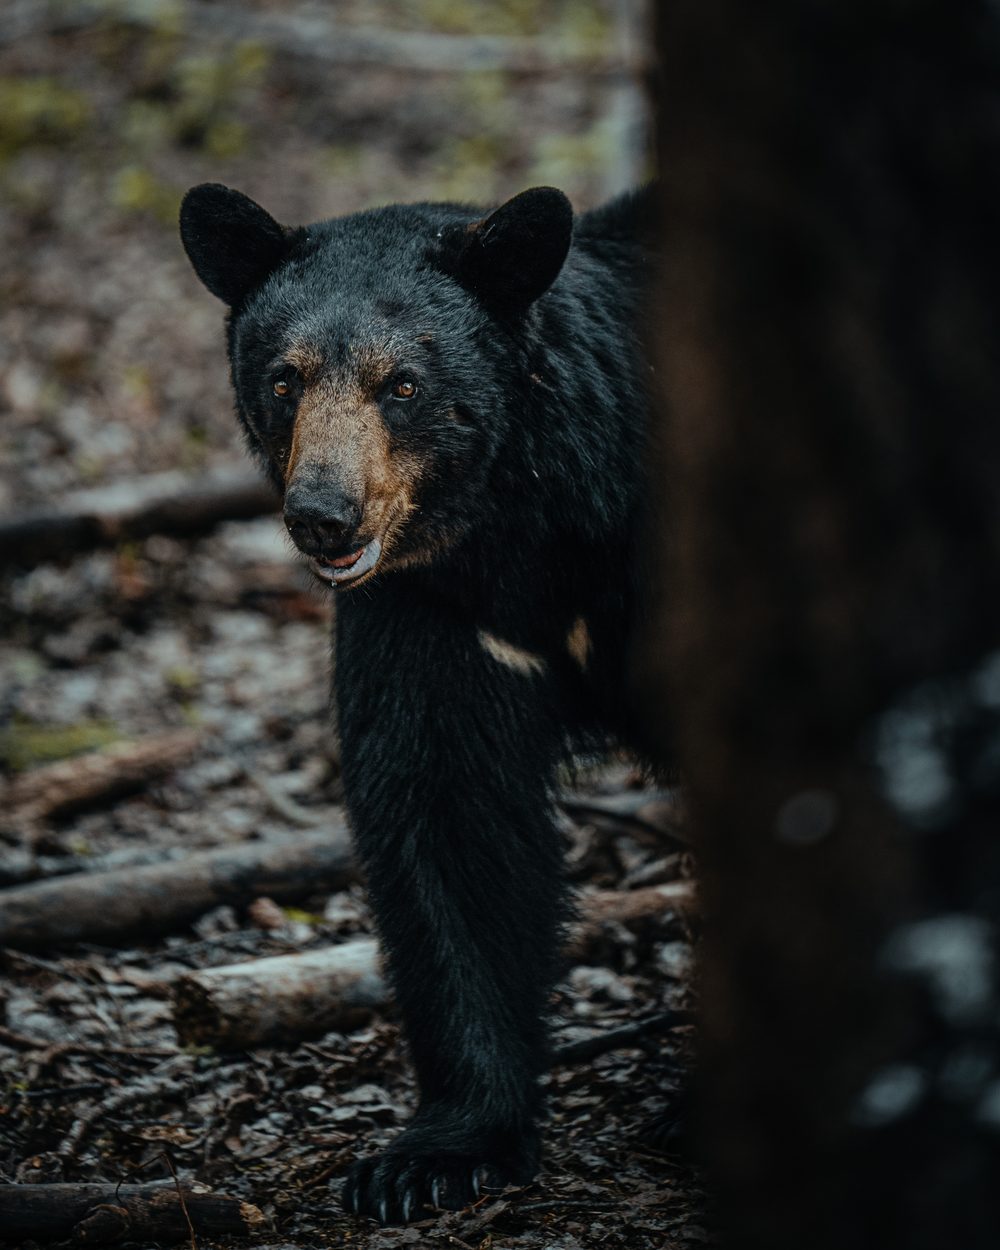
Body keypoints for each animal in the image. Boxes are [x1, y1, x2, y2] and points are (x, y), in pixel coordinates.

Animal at [179, 181, 655, 1224]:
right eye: (284, 379)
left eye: (401, 384)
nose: (323, 516)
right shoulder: (434, 609)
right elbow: (449, 815)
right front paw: (438, 1152)